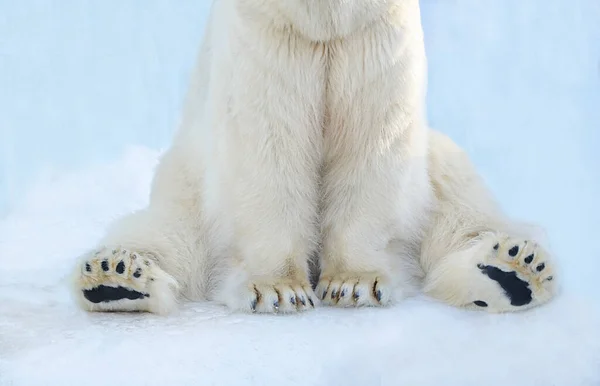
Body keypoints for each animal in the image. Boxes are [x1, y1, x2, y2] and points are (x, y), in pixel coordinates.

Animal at [71, 0, 556, 314]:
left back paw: (513, 268)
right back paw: (116, 277)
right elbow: (268, 144)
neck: (323, 17)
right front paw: (278, 290)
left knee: (462, 211)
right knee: (166, 234)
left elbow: (373, 139)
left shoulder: (374, 34)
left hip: (433, 167)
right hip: (186, 178)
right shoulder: (269, 35)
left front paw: (355, 282)